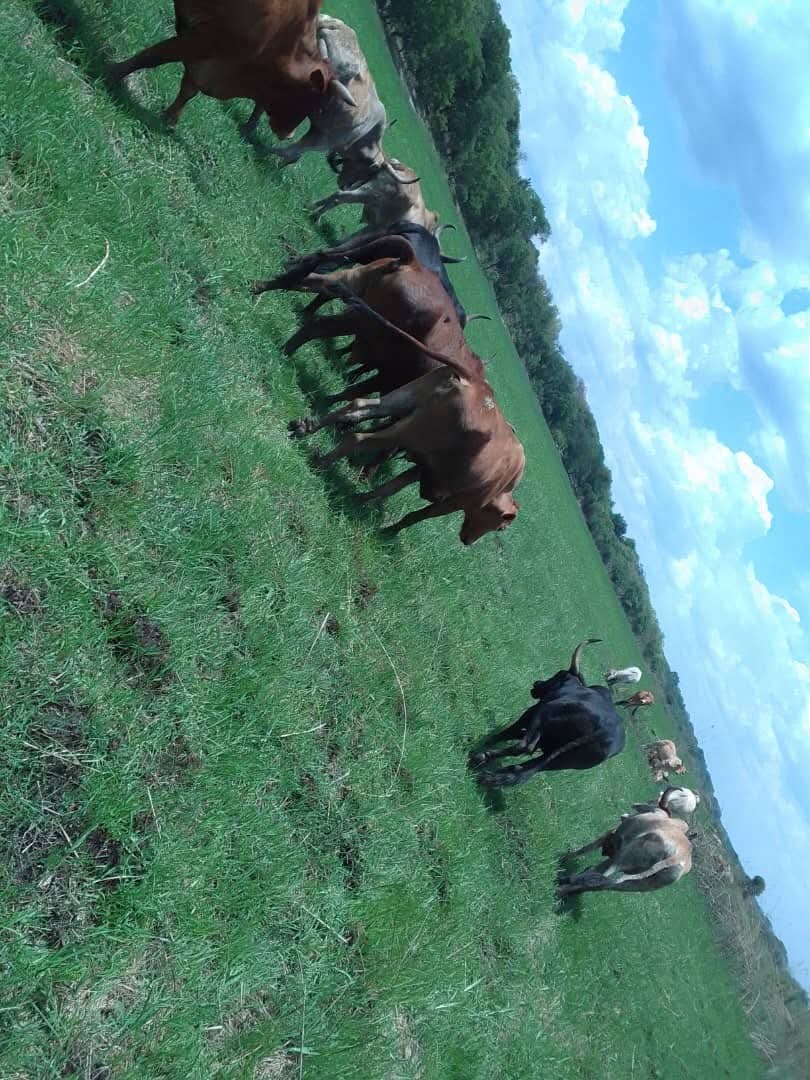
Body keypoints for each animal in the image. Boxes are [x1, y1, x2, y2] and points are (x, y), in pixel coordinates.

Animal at [109, 0, 355, 136]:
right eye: (315, 104)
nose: (288, 134)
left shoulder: (210, 58)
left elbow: (189, 90)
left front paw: (171, 118)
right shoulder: (204, 40)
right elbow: (155, 55)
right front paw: (115, 72)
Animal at [310, 154, 439, 233]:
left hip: (362, 187)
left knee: (338, 194)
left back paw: (312, 206)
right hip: (367, 194)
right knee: (339, 196)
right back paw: (316, 217)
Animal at [468, 640, 626, 787]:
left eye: (559, 674)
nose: (536, 683)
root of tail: (605, 731)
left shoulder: (532, 712)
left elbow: (511, 731)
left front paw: (489, 740)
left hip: (544, 715)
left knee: (525, 747)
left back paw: (481, 757)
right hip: (560, 760)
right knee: (526, 770)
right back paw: (490, 777)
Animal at [556, 808, 693, 897]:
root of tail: (678, 857)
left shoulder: (610, 834)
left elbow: (585, 849)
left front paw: (563, 858)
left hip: (622, 858)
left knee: (598, 876)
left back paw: (562, 886)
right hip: (638, 884)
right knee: (604, 884)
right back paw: (566, 889)